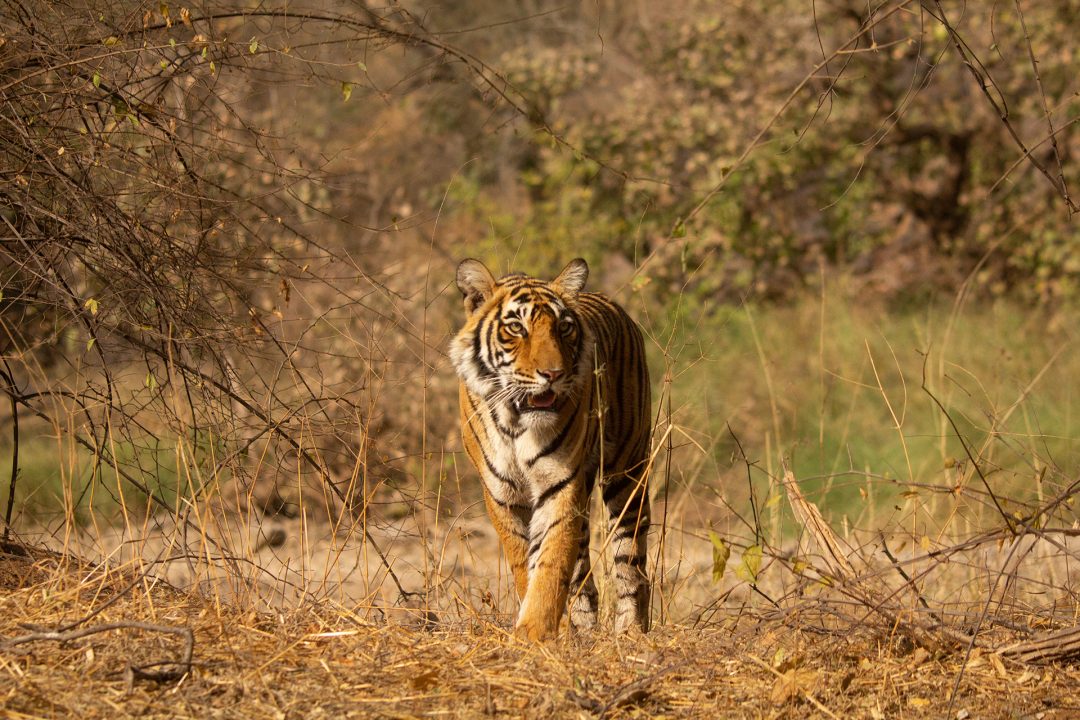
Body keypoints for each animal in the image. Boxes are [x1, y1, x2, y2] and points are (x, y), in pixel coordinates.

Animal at [450, 257, 652, 641]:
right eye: (516, 328)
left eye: (564, 328)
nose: (554, 374)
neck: (517, 423)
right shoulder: (502, 493)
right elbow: (525, 562)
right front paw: (547, 629)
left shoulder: (561, 484)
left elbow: (551, 562)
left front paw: (533, 632)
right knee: (584, 574)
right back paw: (583, 629)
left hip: (628, 472)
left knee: (630, 563)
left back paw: (632, 630)